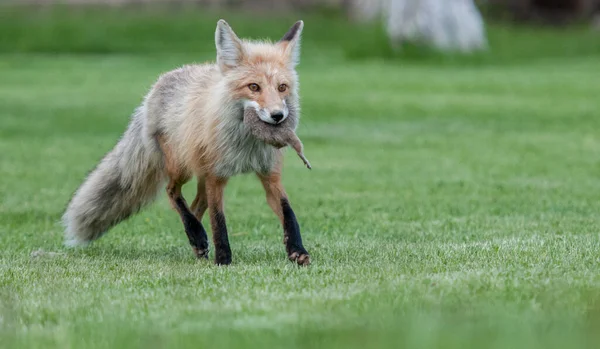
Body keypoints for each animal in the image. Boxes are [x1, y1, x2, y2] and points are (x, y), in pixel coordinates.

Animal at [63, 19, 312, 264]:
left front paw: (297, 250)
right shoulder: (216, 177)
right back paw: (197, 236)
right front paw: (223, 260)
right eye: (253, 87)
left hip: (200, 172)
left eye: (282, 87)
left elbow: (288, 211)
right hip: (181, 167)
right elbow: (218, 221)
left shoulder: (269, 174)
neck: (246, 146)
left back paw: (196, 239)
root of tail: (152, 93)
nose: (278, 116)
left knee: (194, 207)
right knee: (172, 192)